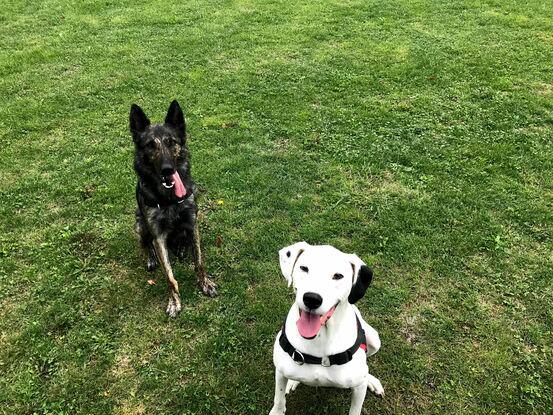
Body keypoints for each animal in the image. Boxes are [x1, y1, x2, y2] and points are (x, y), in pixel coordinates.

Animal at [268, 242, 382, 414]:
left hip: (375, 340)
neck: (320, 338)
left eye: (338, 276)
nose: (312, 299)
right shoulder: (280, 373)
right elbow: (279, 398)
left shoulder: (358, 389)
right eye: (304, 268)